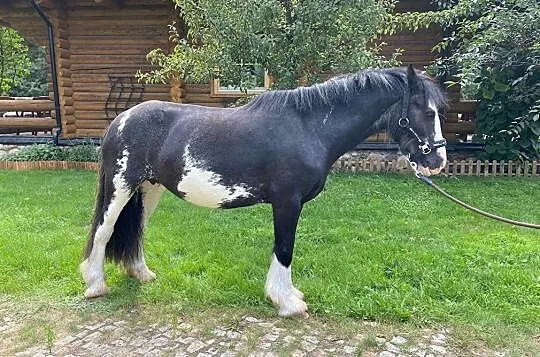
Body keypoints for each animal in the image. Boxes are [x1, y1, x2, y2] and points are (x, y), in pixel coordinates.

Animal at [81, 65, 448, 316]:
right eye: (428, 112)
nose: (438, 161)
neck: (308, 128)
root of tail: (120, 120)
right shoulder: (287, 202)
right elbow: (284, 249)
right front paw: (287, 303)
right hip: (120, 187)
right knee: (103, 231)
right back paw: (95, 284)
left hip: (148, 189)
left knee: (137, 229)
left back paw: (141, 274)